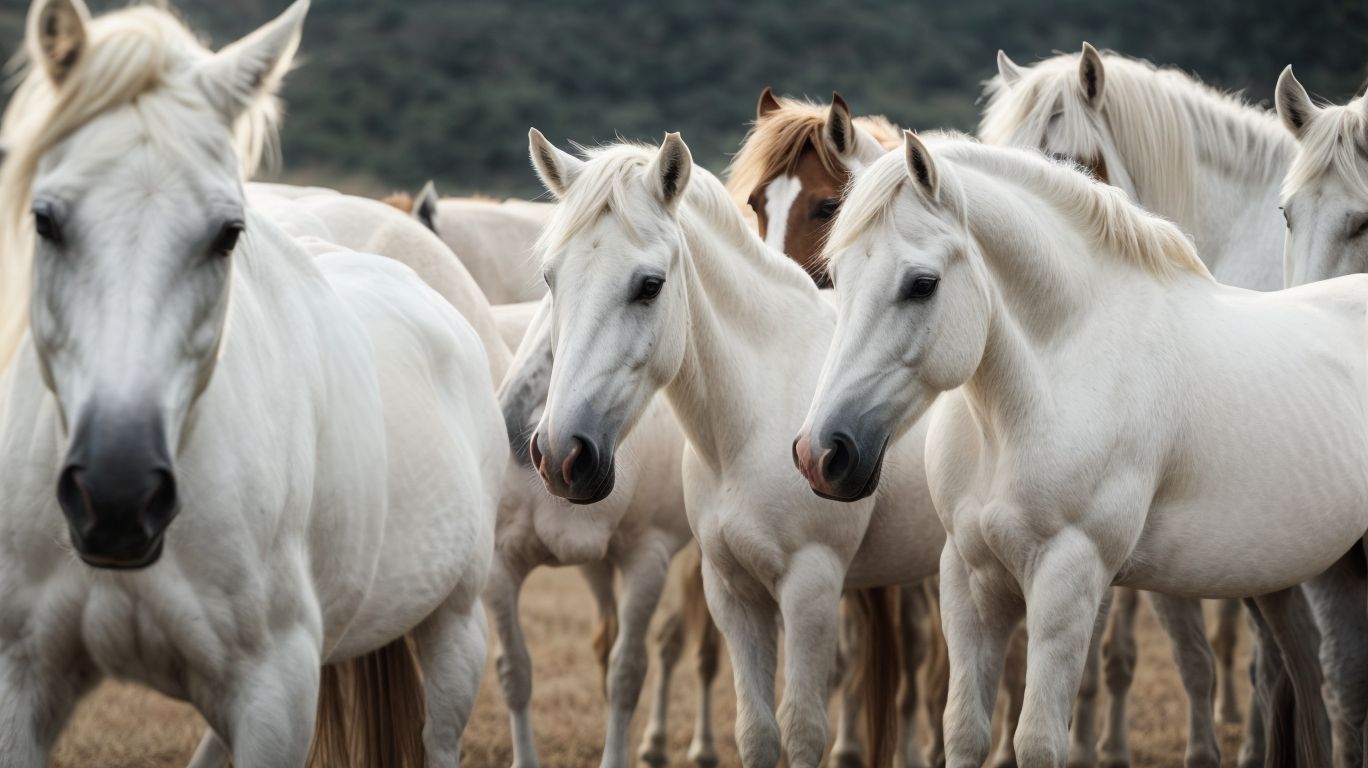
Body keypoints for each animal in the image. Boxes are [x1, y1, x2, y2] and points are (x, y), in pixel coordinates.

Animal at [0, 2, 506, 766]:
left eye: (227, 233)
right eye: (46, 219)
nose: (117, 496)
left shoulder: (276, 696)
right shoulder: (23, 682)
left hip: (456, 628)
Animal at [796, 130, 1368, 768]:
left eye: (922, 284)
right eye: (836, 274)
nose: (823, 454)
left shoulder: (1070, 574)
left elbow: (1039, 739)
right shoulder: (969, 578)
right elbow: (963, 731)